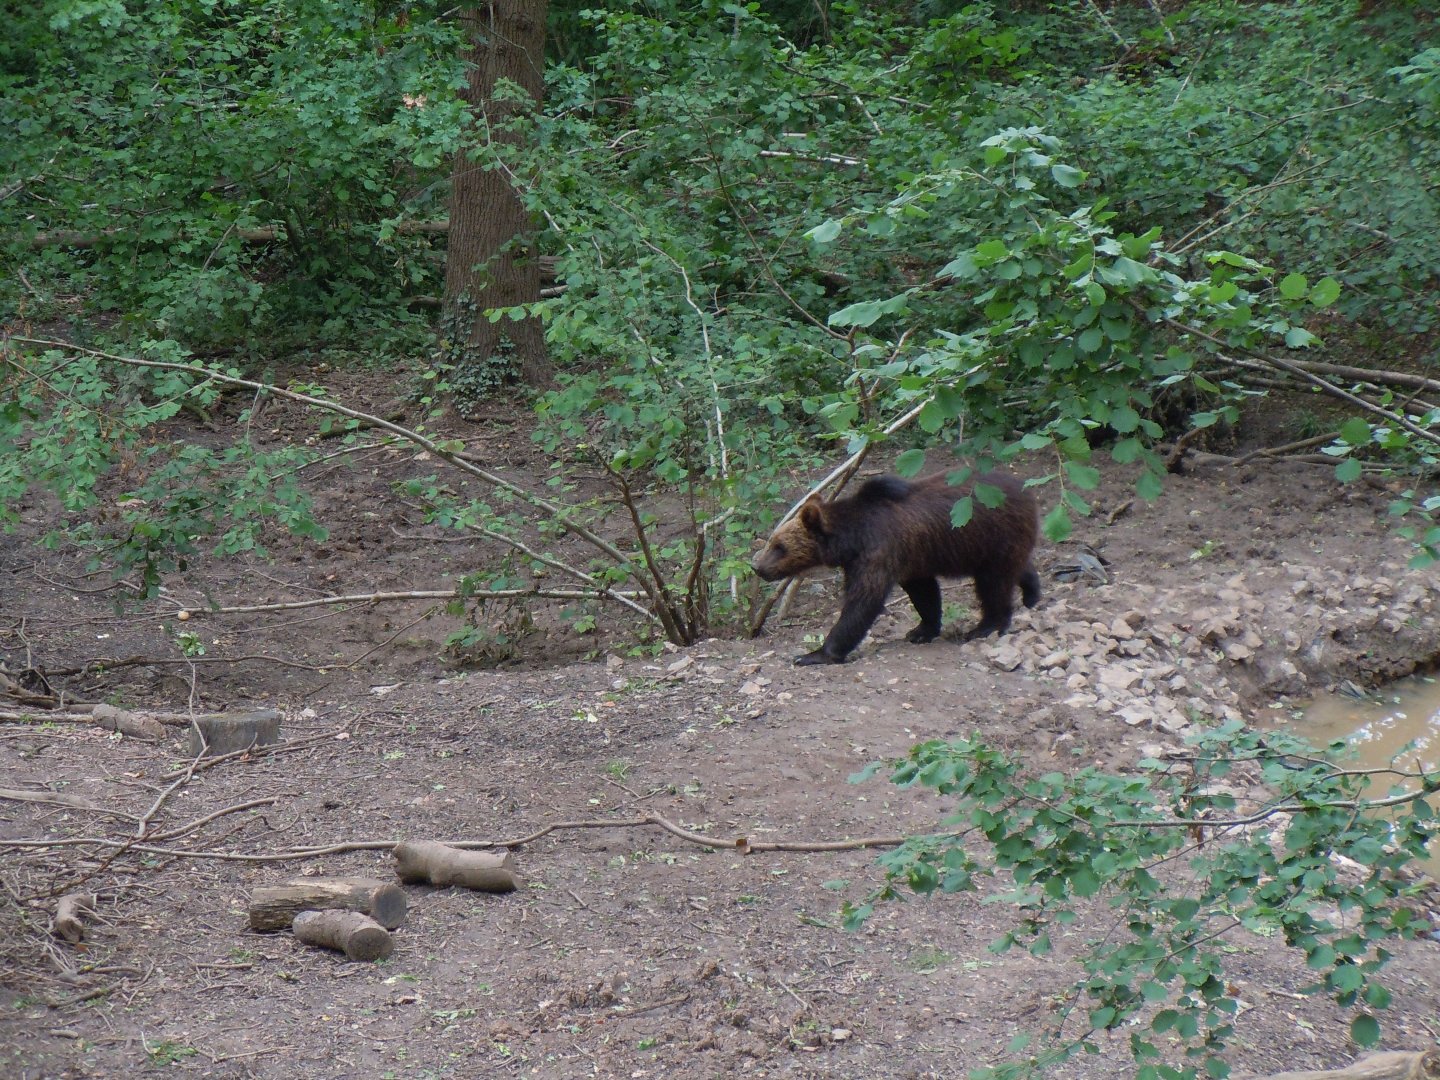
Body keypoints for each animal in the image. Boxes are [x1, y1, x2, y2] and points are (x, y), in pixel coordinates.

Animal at [752, 472, 1041, 666]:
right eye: (773, 541)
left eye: (779, 546)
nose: (757, 566)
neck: (852, 539)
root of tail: (1026, 491)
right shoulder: (910, 559)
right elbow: (924, 593)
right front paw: (922, 630)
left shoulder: (878, 553)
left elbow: (862, 603)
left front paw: (815, 654)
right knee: (1016, 568)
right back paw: (1032, 594)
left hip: (993, 536)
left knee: (993, 584)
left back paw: (985, 626)